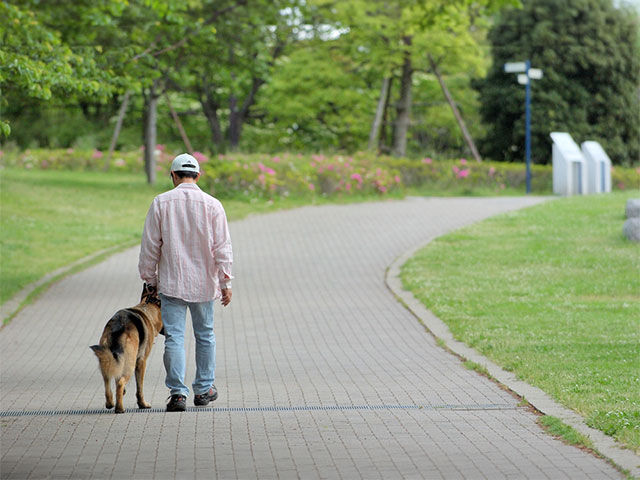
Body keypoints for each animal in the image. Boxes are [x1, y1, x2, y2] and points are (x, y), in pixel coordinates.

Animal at [91, 284, 164, 412]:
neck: (147, 308)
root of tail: (118, 327)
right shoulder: (141, 362)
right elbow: (139, 388)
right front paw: (142, 404)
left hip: (106, 359)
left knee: (107, 380)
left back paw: (110, 403)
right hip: (130, 364)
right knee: (120, 382)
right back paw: (120, 408)